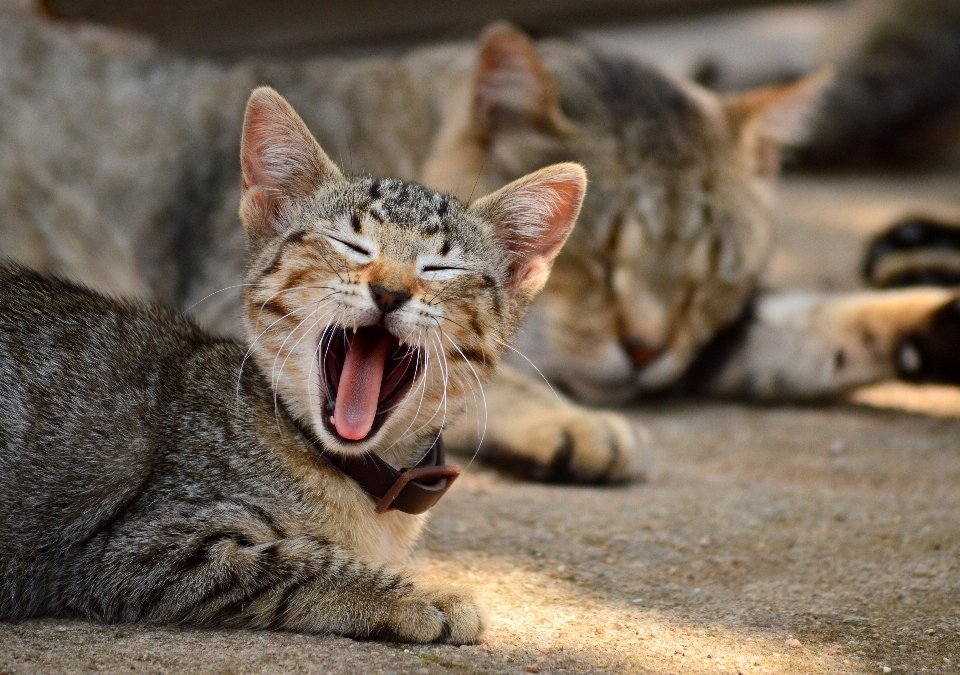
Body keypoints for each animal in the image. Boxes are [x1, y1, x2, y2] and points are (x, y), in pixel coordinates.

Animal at [0, 10, 952, 486]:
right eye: (599, 258)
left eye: (711, 275)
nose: (646, 351)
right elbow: (474, 383)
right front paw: (574, 422)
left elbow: (810, 322)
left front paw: (928, 311)